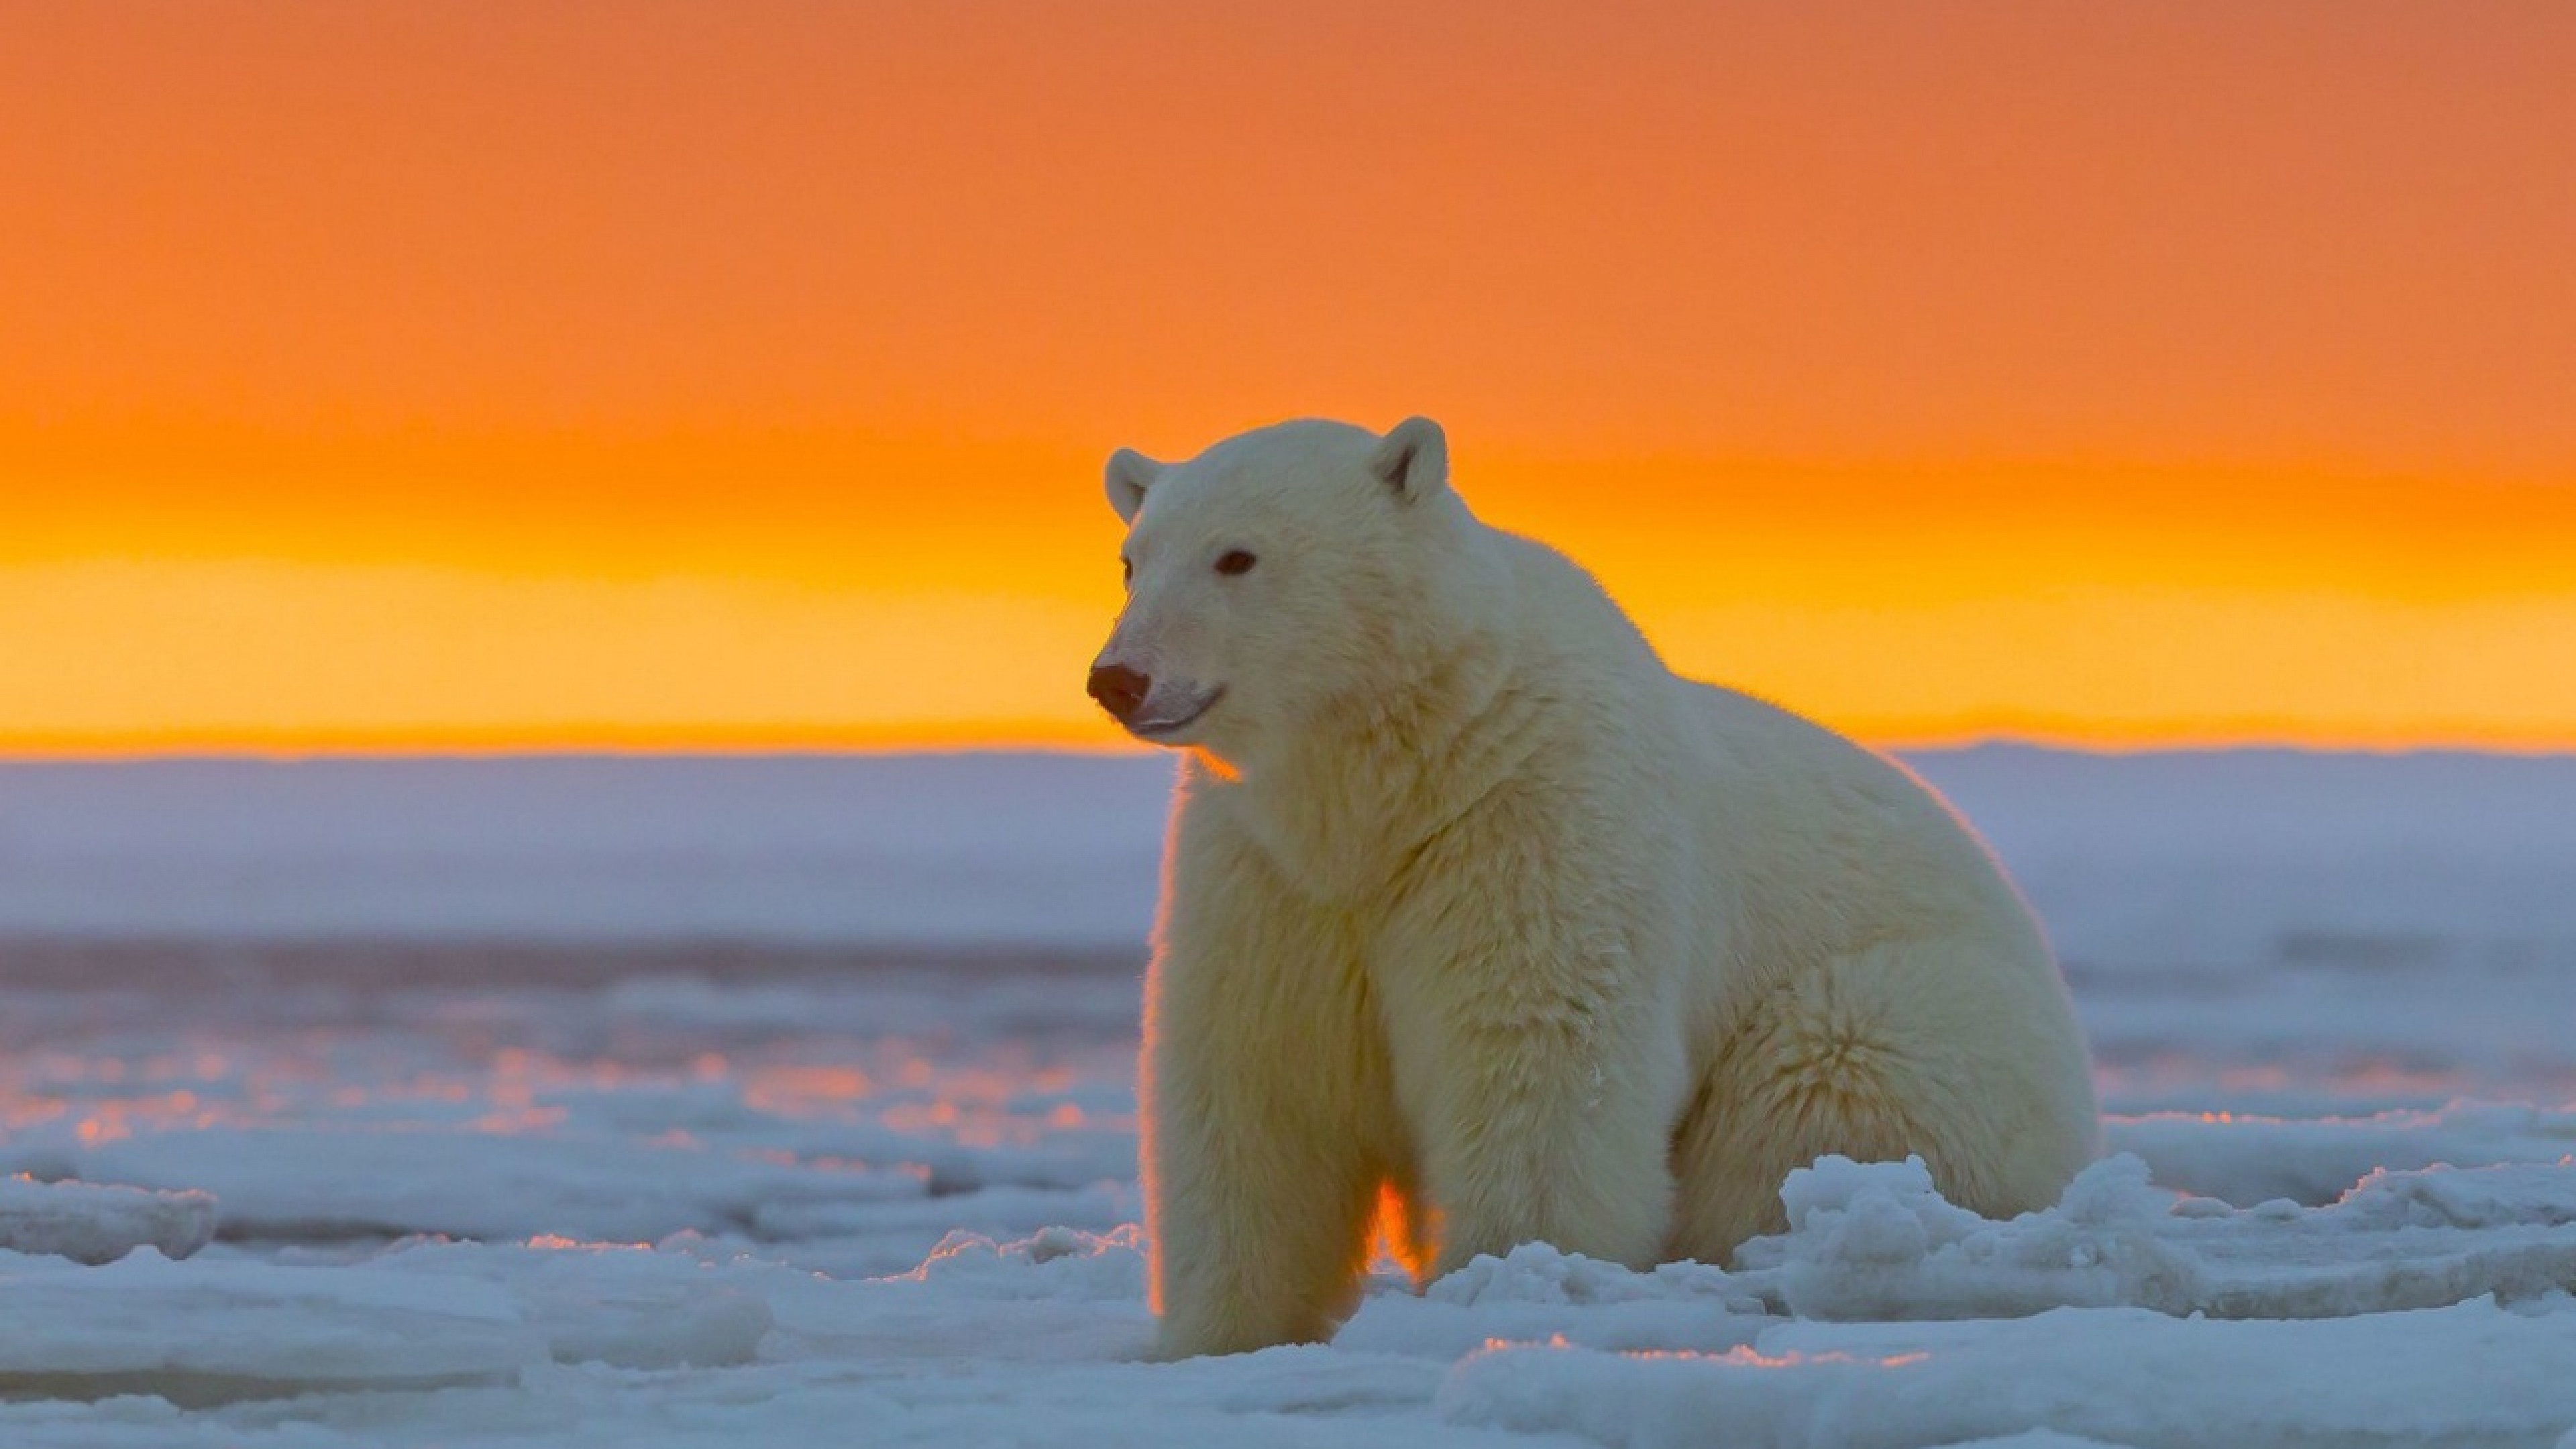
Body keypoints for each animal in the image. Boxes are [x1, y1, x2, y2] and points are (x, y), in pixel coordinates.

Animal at [1081, 417, 2092, 1350]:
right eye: (1133, 561)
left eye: (1237, 555)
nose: (1117, 678)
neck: (1398, 780)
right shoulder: (1270, 871)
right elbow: (1258, 1080)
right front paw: (1220, 1333)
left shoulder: (1534, 815)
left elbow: (1538, 1057)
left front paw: (1509, 1280)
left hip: (1926, 1024)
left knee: (1827, 1075)